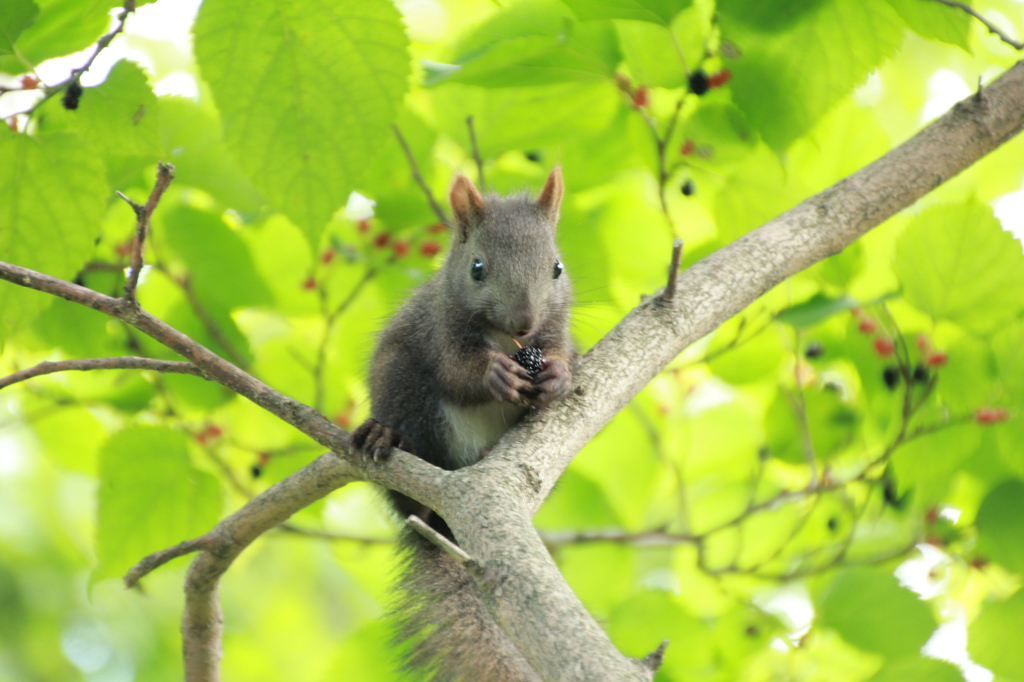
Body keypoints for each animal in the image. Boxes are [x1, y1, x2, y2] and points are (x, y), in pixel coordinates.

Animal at [350, 165, 573, 679]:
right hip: (407, 394)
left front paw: (557, 375)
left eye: (556, 267)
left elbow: (559, 353)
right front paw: (493, 374)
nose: (523, 323)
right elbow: (457, 371)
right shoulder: (440, 329)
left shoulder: (556, 329)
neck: (507, 341)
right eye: (477, 268)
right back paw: (389, 437)